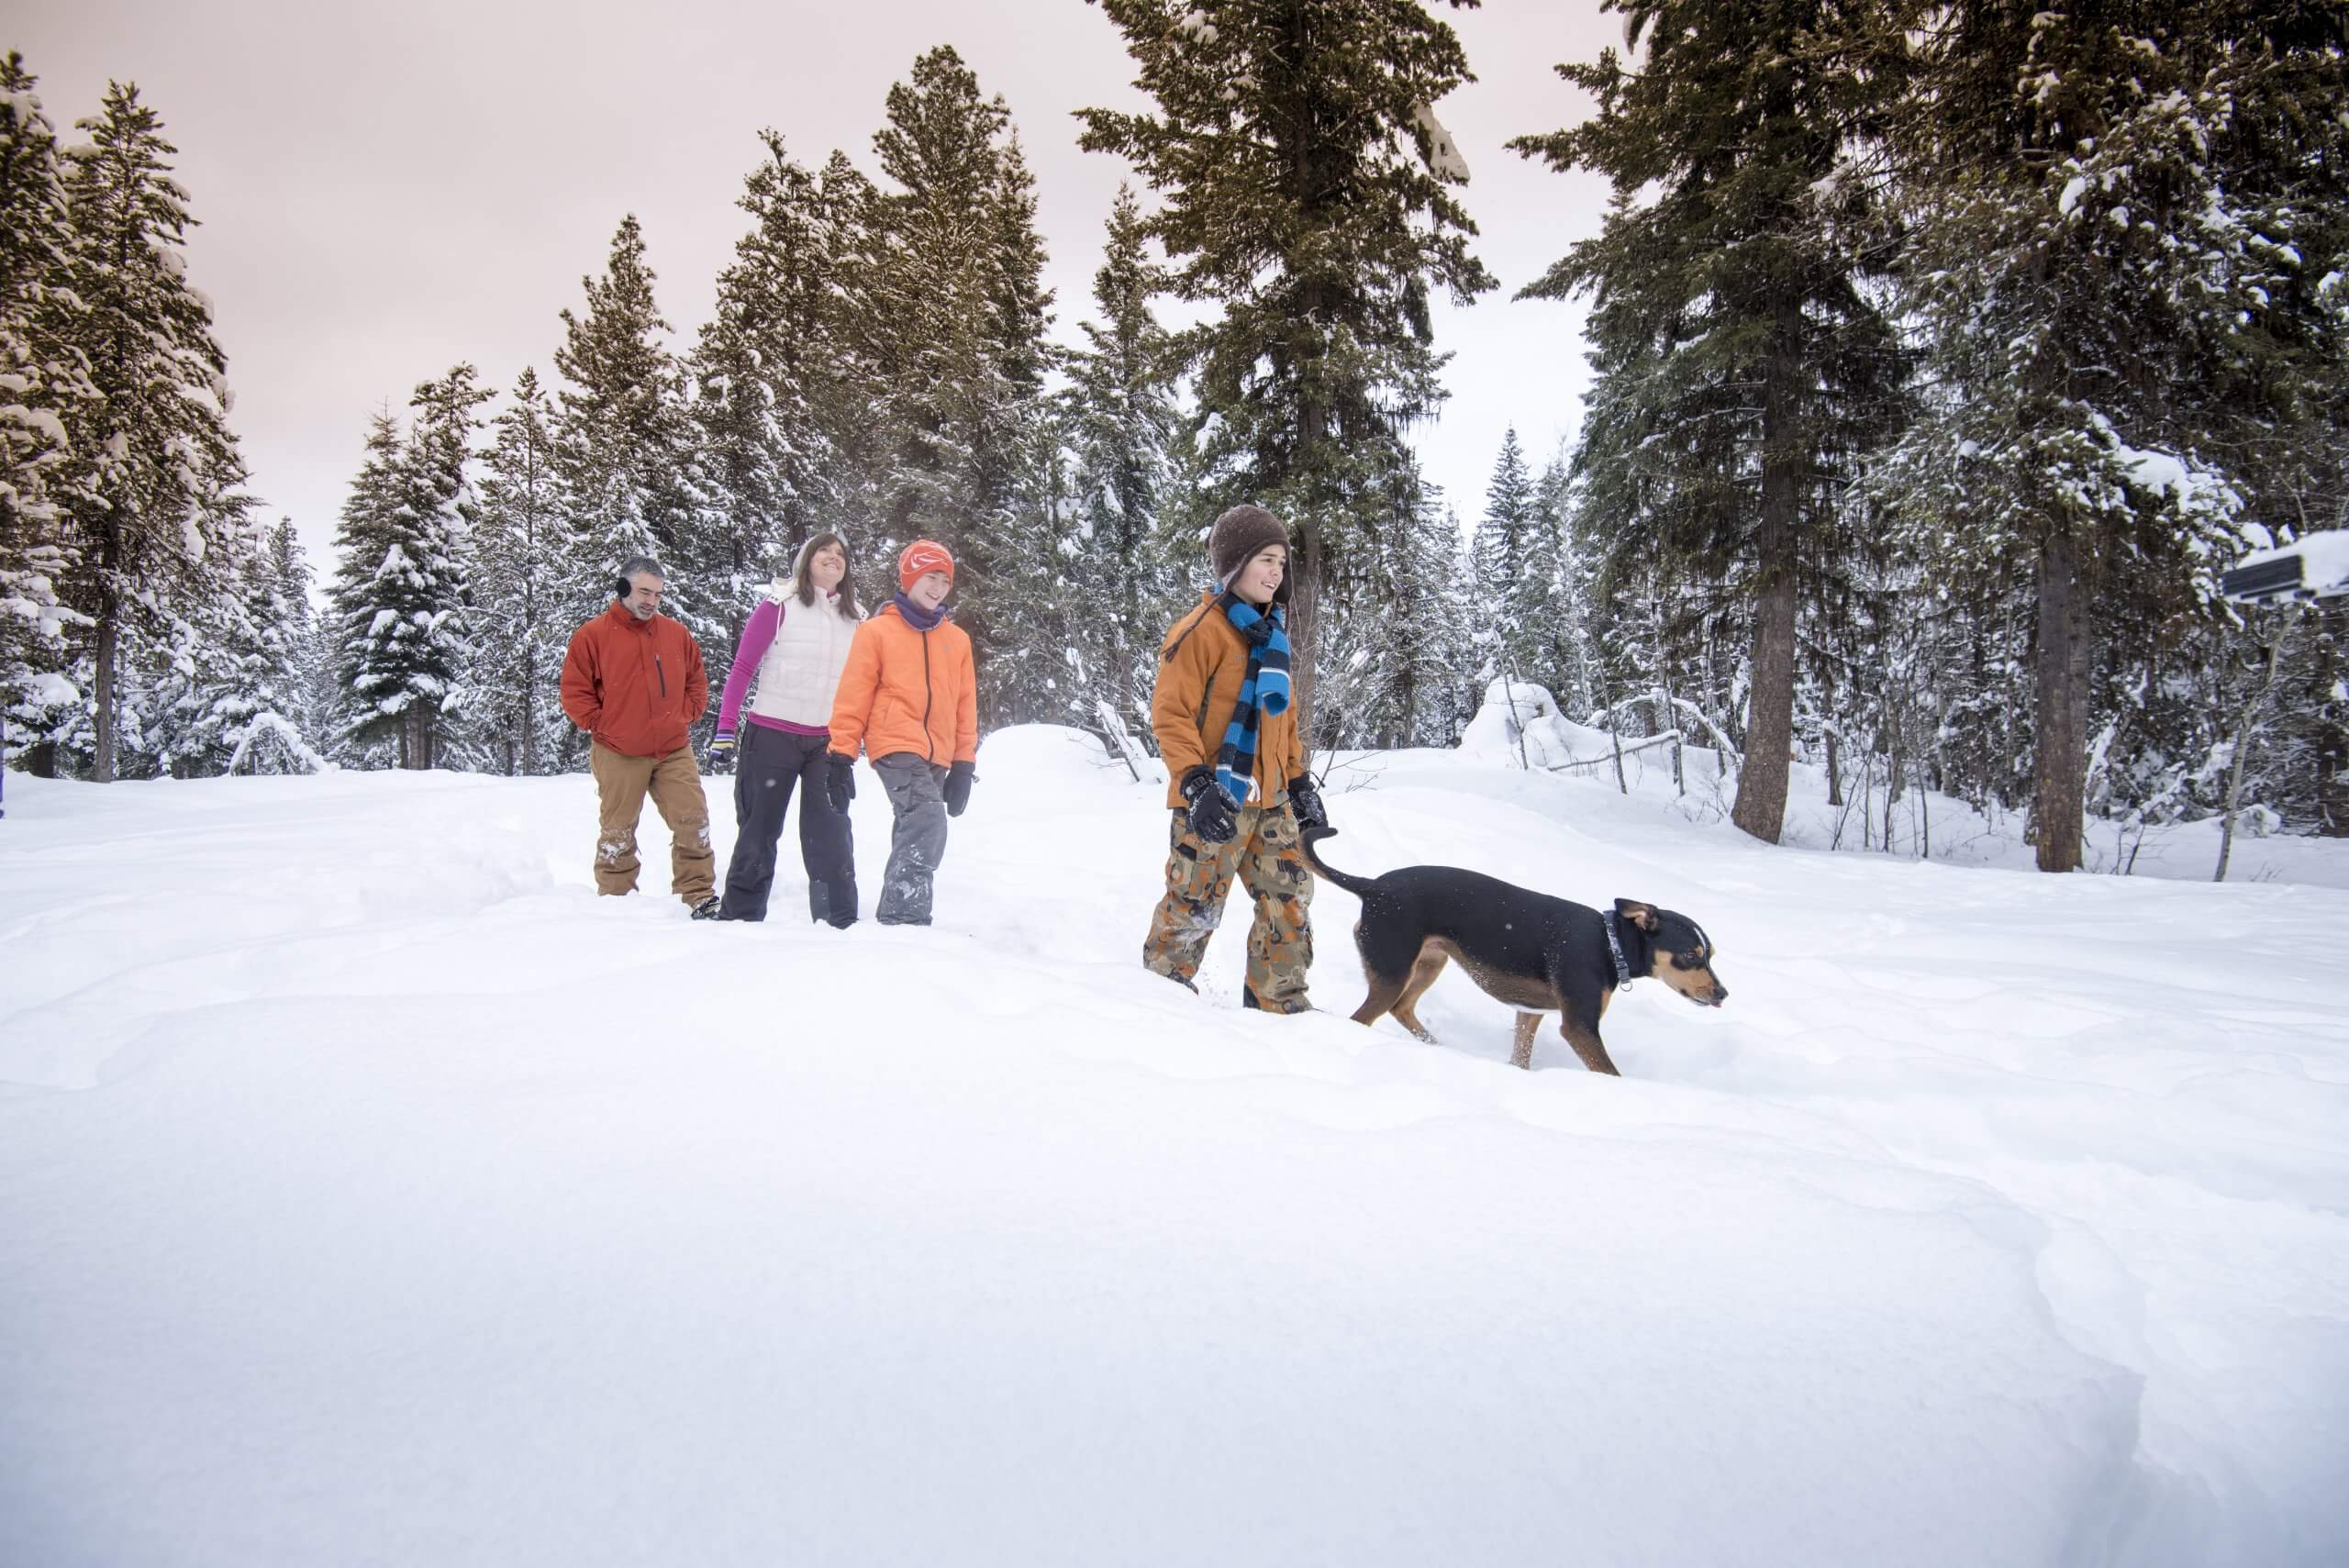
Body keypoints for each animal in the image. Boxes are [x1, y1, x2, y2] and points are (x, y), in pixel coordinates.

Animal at [1306, 826, 1729, 1070]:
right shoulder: (1579, 1027)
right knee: (1364, 1017)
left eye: (1709, 954)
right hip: (1394, 970)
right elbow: (1610, 1072)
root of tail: (1372, 887)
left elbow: (1520, 1057)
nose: (1723, 993)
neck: (1609, 944)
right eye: (1690, 955)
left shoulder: (1530, 1012)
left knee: (1402, 1009)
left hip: (1429, 964)